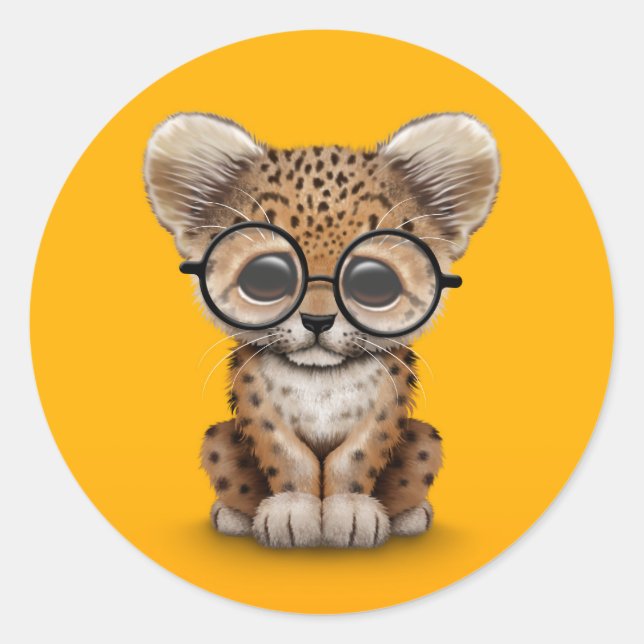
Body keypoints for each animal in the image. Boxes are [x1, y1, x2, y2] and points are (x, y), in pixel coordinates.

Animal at [144, 111, 499, 548]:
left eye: (374, 283)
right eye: (264, 277)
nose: (317, 321)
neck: (321, 379)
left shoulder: (388, 404)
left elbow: (356, 457)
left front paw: (351, 512)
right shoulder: (255, 402)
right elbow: (287, 455)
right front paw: (292, 511)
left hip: (425, 440)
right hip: (219, 440)